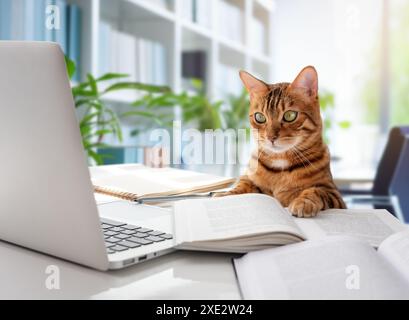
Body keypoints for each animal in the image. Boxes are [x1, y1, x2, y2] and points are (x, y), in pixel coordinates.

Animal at [217, 66, 344, 219]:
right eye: (260, 117)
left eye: (290, 115)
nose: (271, 137)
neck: (280, 161)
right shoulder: (249, 178)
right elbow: (242, 185)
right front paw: (227, 194)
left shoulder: (335, 195)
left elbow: (316, 191)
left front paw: (303, 202)